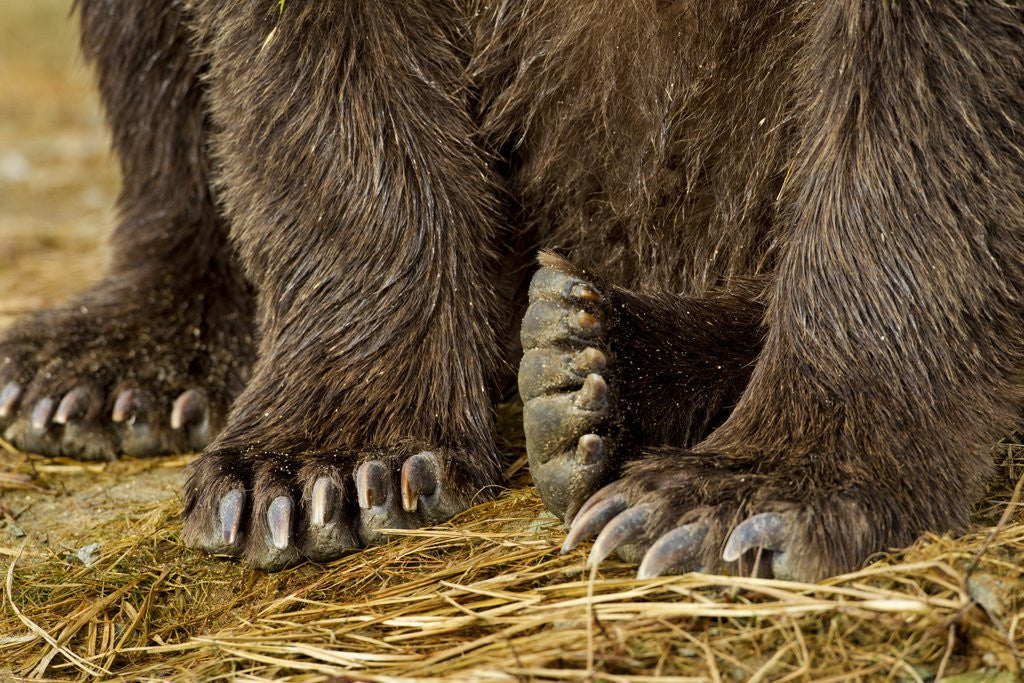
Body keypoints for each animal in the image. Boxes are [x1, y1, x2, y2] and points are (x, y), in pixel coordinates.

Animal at [4, 1, 1019, 581]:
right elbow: (308, 72)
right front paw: (323, 470)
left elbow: (931, 93)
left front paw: (742, 496)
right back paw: (109, 370)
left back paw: (595, 360)